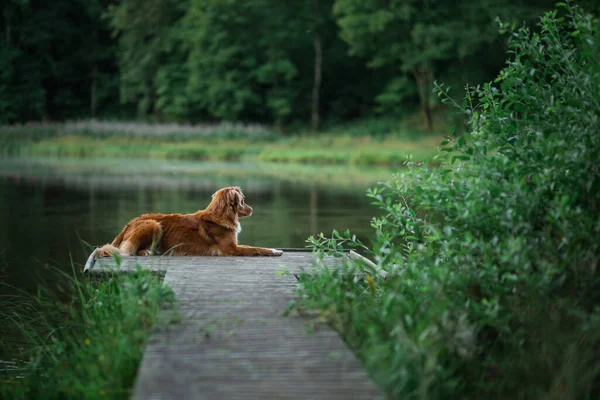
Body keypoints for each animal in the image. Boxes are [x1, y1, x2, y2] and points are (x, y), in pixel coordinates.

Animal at [96, 187, 284, 256]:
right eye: (243, 201)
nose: (252, 209)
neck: (220, 217)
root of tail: (127, 224)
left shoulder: (234, 245)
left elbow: (251, 246)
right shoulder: (230, 249)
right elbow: (255, 248)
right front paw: (274, 251)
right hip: (153, 224)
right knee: (129, 252)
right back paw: (148, 252)